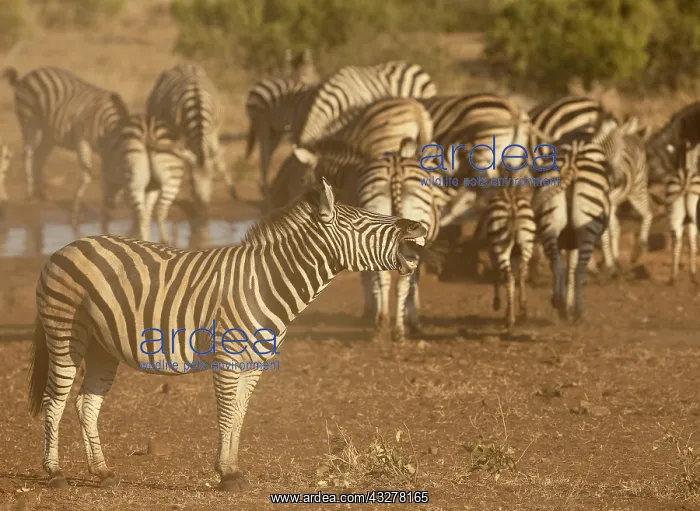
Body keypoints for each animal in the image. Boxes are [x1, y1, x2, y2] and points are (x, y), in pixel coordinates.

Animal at [2, 66, 130, 230]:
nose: (112, 206)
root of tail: (28, 76)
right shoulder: (81, 139)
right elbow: (86, 175)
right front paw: (75, 213)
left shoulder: (106, 153)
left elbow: (102, 176)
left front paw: (104, 214)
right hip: (29, 121)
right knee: (28, 153)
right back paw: (30, 195)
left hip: (49, 133)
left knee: (39, 157)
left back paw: (41, 195)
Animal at [28, 177, 427, 491]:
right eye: (362, 221)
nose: (419, 227)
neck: (266, 283)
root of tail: (64, 248)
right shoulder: (227, 360)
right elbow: (224, 415)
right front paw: (224, 475)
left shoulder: (254, 364)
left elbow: (238, 415)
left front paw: (233, 470)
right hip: (65, 335)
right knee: (54, 402)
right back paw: (55, 473)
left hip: (102, 347)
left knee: (86, 403)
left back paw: (103, 473)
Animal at [101, 113, 196, 244]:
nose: (109, 203)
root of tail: (148, 130)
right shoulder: (152, 188)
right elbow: (148, 213)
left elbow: (141, 214)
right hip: (171, 178)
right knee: (160, 211)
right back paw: (162, 240)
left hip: (135, 181)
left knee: (141, 215)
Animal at [484, 182, 536, 328]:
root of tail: (512, 203)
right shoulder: (514, 255)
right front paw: (508, 310)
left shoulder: (491, 252)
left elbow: (496, 276)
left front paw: (497, 304)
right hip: (527, 243)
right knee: (522, 271)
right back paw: (522, 308)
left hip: (500, 245)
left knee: (509, 278)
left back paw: (510, 320)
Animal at [532, 133, 616, 320]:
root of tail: (572, 161)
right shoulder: (575, 240)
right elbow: (572, 269)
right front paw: (570, 307)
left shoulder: (569, 239)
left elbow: (567, 268)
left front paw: (565, 304)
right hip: (587, 231)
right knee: (579, 271)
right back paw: (578, 313)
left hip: (550, 224)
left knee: (556, 265)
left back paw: (558, 302)